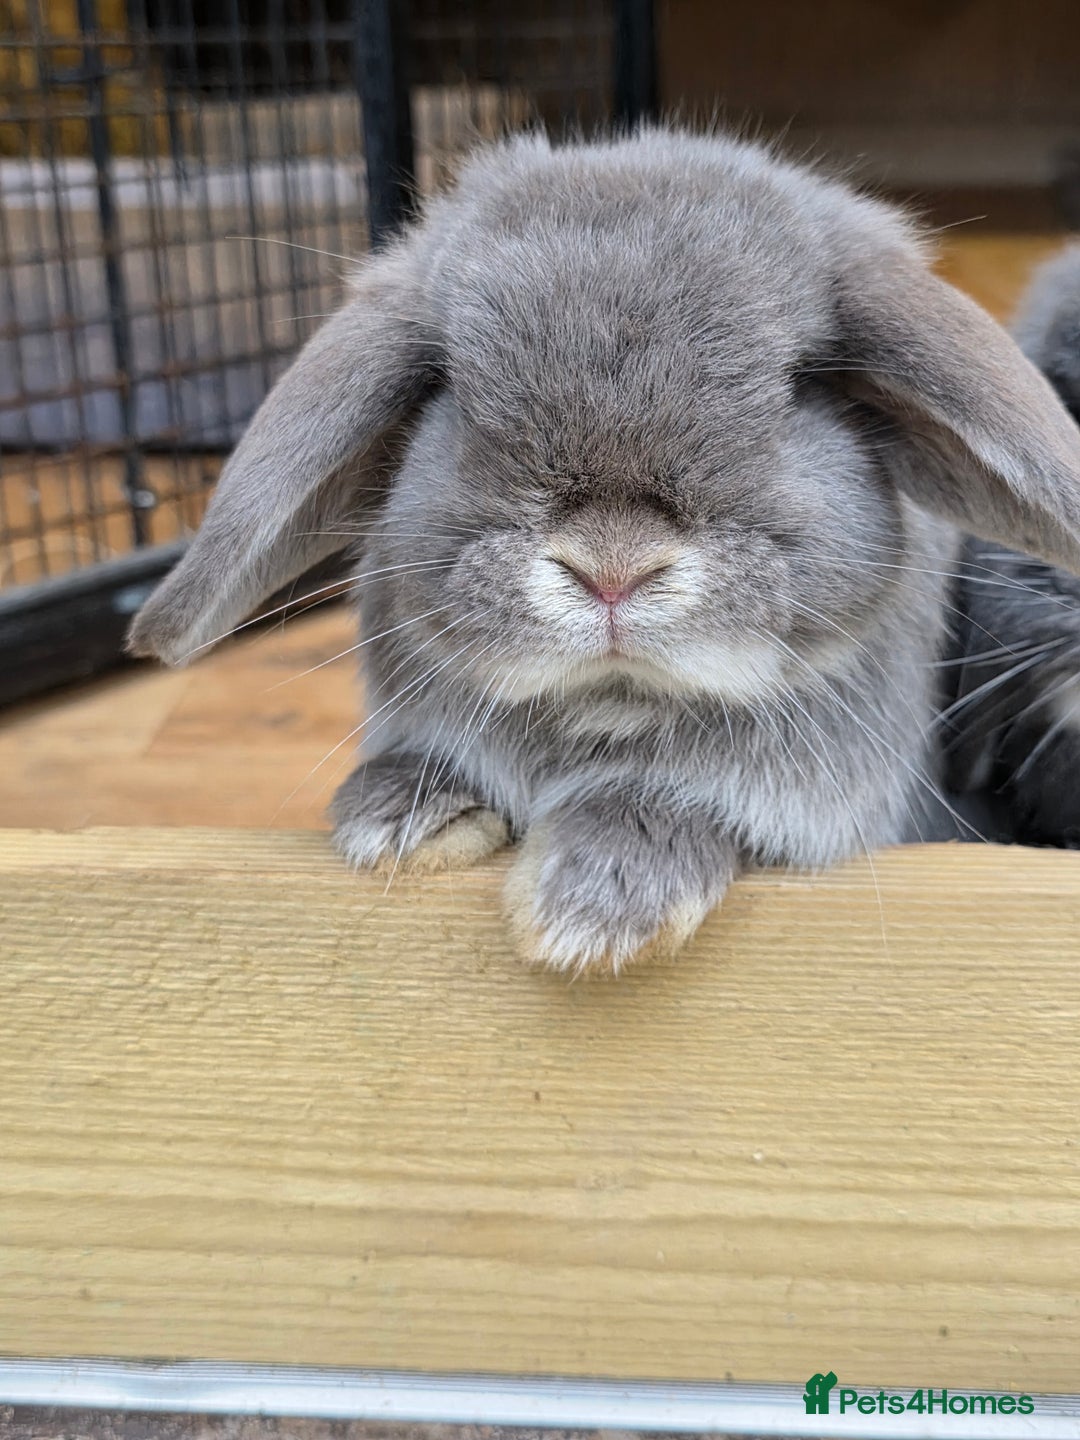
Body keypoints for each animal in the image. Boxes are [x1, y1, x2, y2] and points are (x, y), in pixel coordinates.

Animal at [127, 129, 1080, 974]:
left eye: (800, 386)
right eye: (452, 386)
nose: (612, 572)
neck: (608, 710)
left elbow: (671, 804)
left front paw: (591, 906)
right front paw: (396, 818)